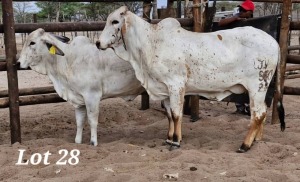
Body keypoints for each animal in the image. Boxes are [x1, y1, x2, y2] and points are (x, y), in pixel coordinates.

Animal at [98, 6, 286, 152]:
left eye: (115, 21)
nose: (98, 43)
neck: (150, 43)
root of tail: (273, 41)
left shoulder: (176, 85)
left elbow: (176, 114)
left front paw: (175, 141)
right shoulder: (165, 89)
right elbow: (169, 115)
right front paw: (169, 138)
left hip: (257, 86)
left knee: (258, 114)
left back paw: (245, 145)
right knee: (262, 111)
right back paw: (256, 140)